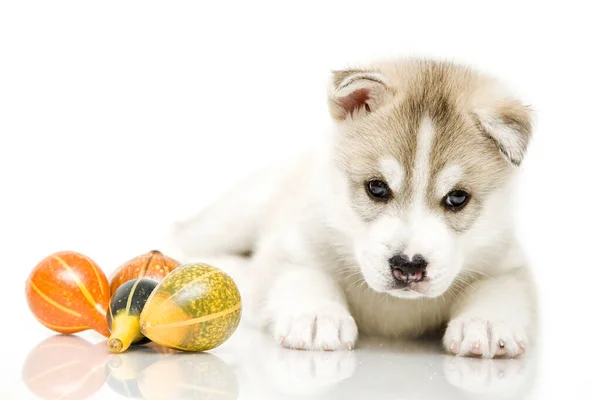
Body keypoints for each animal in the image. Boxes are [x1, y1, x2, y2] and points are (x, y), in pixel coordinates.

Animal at [168, 57, 540, 360]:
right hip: (233, 217)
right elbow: (304, 275)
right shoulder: (293, 245)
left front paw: (487, 324)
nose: (408, 267)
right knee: (185, 236)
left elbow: (497, 289)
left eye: (457, 198)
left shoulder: (507, 263)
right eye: (377, 187)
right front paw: (317, 315)